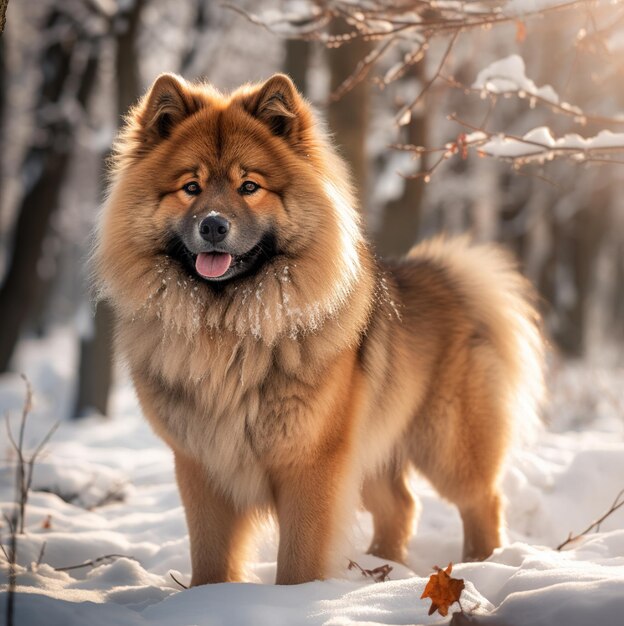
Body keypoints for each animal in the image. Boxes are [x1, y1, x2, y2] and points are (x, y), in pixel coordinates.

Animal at [95, 73, 544, 584]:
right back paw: (382, 568)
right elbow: (210, 555)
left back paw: (480, 563)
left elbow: (299, 557)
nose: (212, 225)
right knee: (401, 507)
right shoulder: (202, 465)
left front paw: (295, 595)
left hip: (447, 444)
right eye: (191, 186)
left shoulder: (312, 464)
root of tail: (448, 278)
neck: (231, 335)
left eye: (249, 186)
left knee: (482, 500)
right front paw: (208, 594)